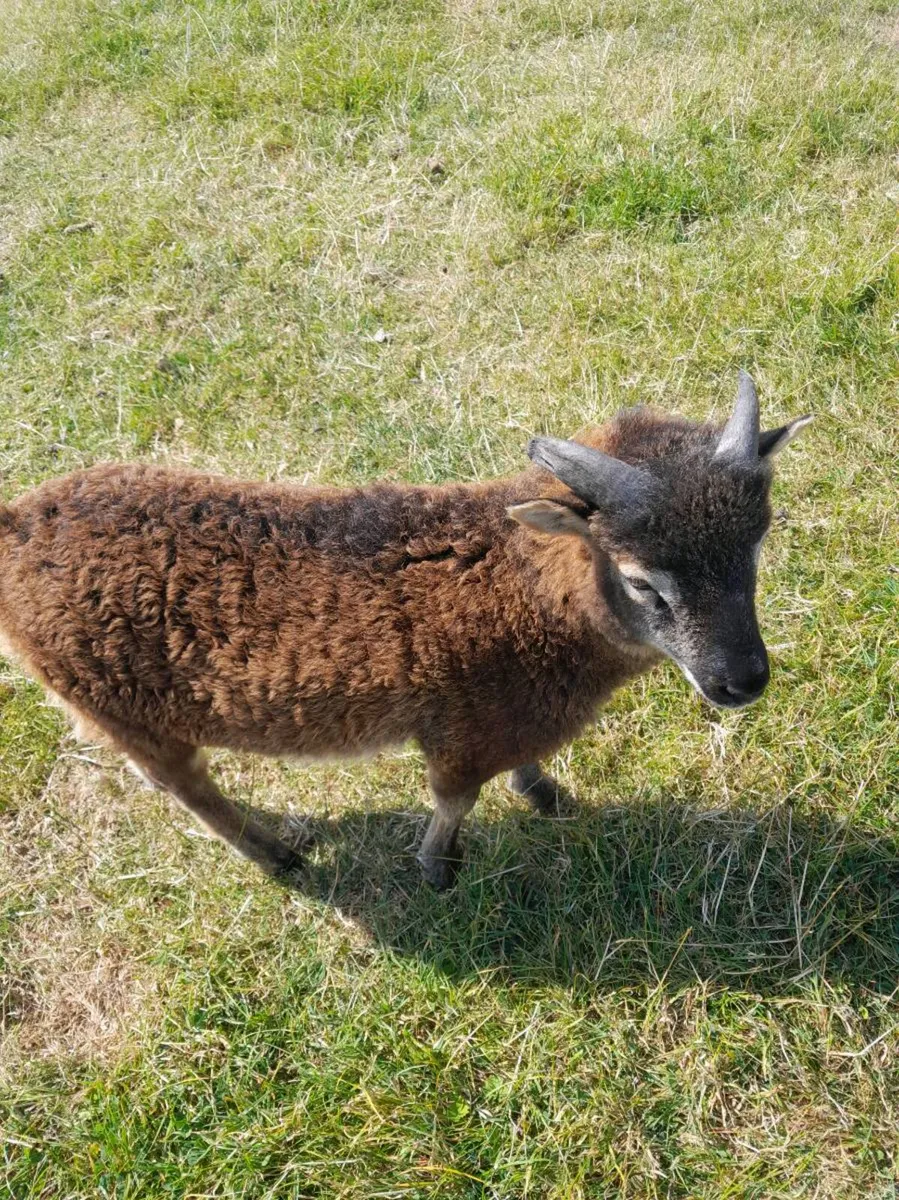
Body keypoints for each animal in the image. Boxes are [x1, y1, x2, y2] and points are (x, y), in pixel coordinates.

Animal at [0, 373, 810, 888]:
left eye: (757, 545)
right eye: (643, 582)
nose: (741, 681)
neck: (520, 589)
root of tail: (15, 526)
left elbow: (521, 769)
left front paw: (546, 795)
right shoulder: (462, 734)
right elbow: (453, 800)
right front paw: (435, 872)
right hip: (120, 712)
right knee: (184, 786)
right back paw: (276, 855)